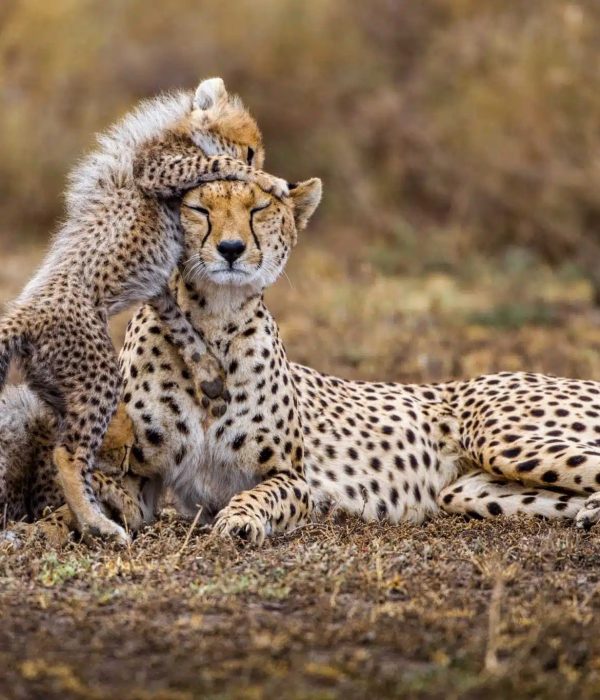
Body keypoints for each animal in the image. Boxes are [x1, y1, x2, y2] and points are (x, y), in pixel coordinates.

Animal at [0, 76, 288, 543]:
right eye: (249, 150)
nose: (262, 167)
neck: (178, 130)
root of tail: (25, 313)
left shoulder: (157, 285)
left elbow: (180, 323)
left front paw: (209, 372)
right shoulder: (157, 167)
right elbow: (217, 162)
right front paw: (269, 179)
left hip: (61, 389)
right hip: (97, 377)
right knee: (67, 454)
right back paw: (100, 524)